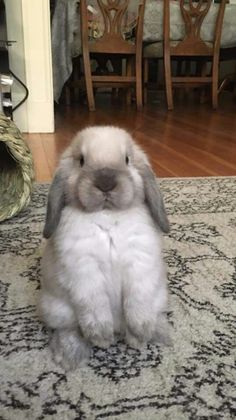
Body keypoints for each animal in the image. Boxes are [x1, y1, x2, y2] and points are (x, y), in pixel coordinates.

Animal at [39, 126, 171, 370]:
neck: (108, 216)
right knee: (68, 329)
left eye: (127, 159)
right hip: (58, 310)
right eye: (81, 161)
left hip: (159, 297)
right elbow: (94, 307)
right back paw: (70, 357)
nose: (106, 183)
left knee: (150, 314)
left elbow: (137, 302)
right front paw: (102, 339)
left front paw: (140, 332)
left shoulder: (139, 265)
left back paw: (152, 335)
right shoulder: (84, 272)